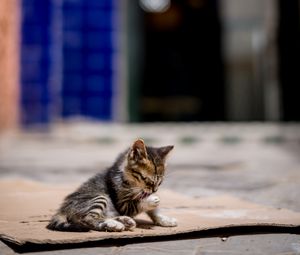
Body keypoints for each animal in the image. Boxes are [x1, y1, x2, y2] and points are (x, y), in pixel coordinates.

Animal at [47, 138, 177, 232]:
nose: (154, 190)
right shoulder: (122, 205)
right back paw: (114, 224)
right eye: (147, 180)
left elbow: (153, 210)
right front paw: (152, 199)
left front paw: (164, 219)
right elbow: (138, 204)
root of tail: (62, 209)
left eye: (160, 182)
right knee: (87, 219)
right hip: (99, 197)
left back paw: (124, 221)